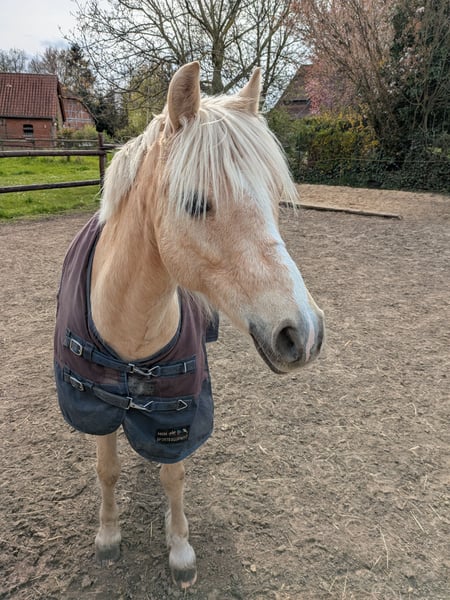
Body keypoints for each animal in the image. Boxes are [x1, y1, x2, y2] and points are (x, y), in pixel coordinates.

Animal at [54, 61, 324, 589]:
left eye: (274, 198)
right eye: (197, 203)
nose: (304, 333)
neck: (132, 328)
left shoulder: (176, 414)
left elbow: (173, 476)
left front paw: (179, 550)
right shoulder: (94, 402)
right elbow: (107, 469)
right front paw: (108, 536)